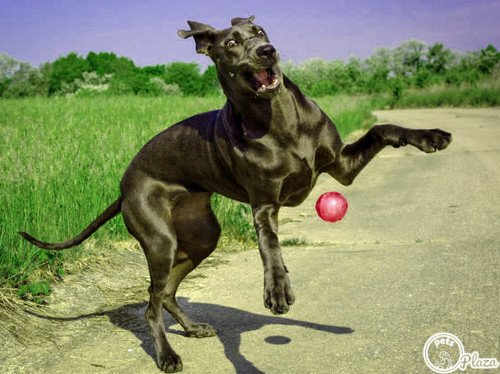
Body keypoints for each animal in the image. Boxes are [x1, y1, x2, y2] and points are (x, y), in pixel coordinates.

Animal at [19, 16, 452, 372]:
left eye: (260, 31)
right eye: (230, 43)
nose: (267, 51)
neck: (279, 118)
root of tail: (123, 186)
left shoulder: (342, 166)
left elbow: (384, 127)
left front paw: (430, 136)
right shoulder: (264, 204)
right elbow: (271, 247)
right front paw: (277, 288)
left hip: (202, 236)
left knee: (168, 292)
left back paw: (192, 327)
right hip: (159, 239)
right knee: (151, 304)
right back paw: (167, 355)